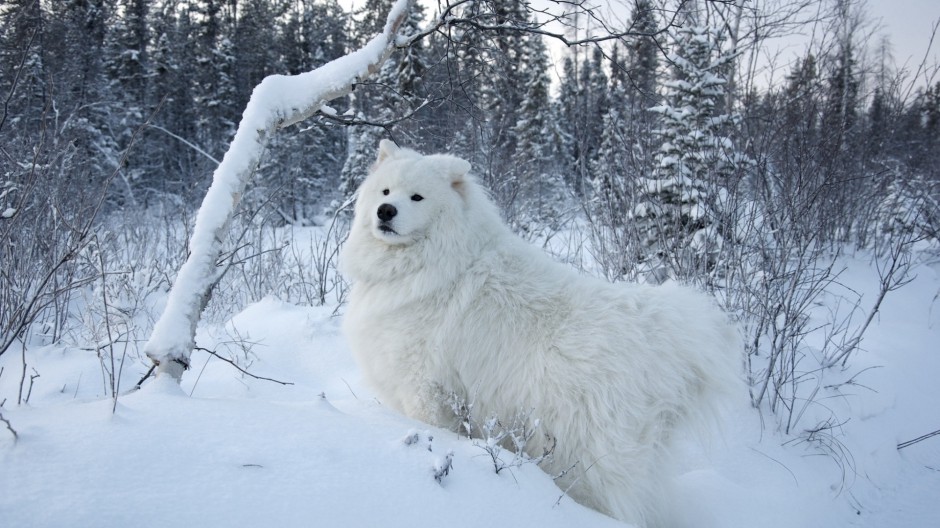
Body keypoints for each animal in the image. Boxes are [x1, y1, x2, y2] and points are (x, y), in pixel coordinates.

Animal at [340, 138, 740, 524]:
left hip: (585, 454)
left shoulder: (425, 389)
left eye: (417, 197)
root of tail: (661, 332)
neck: (431, 261)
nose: (385, 211)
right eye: (385, 191)